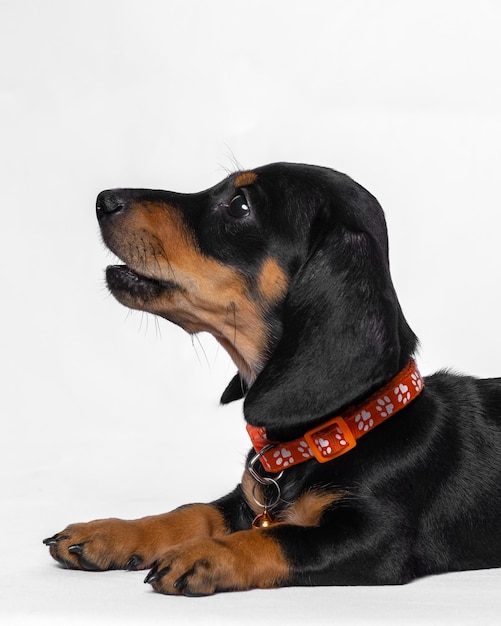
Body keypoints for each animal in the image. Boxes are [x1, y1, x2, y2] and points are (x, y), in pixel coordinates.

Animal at [43, 163, 500, 592]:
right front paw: (109, 532)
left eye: (239, 205)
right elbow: (193, 511)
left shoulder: (376, 538)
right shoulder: (244, 502)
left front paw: (207, 554)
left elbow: (280, 537)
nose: (104, 200)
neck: (330, 433)